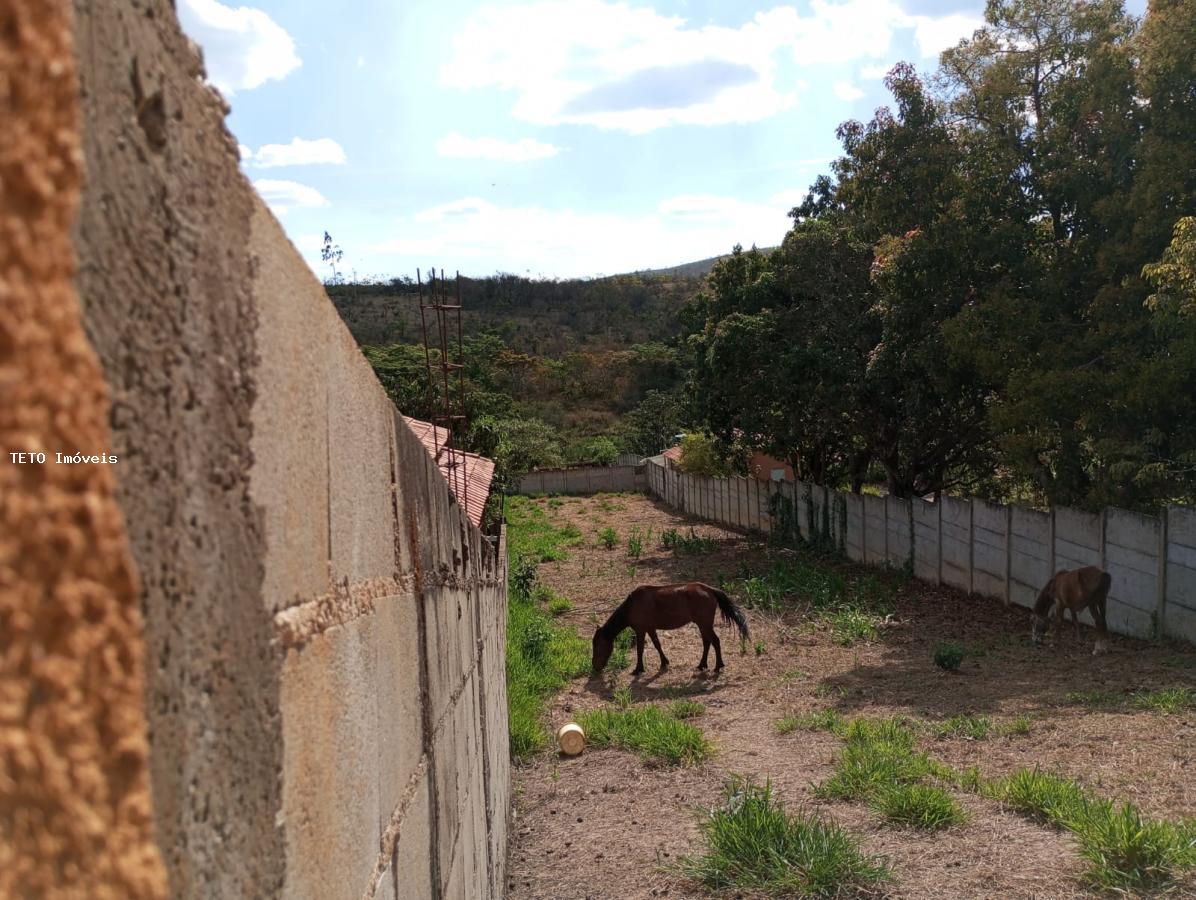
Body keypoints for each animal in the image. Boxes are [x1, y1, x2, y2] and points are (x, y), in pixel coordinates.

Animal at [590, 583, 746, 674]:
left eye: (598, 646)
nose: (595, 667)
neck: (632, 606)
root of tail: (709, 589)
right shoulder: (650, 628)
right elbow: (657, 644)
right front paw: (664, 662)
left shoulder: (640, 630)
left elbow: (640, 649)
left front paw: (638, 669)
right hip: (702, 624)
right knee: (707, 642)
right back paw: (702, 665)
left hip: (705, 624)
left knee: (715, 641)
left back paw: (718, 666)